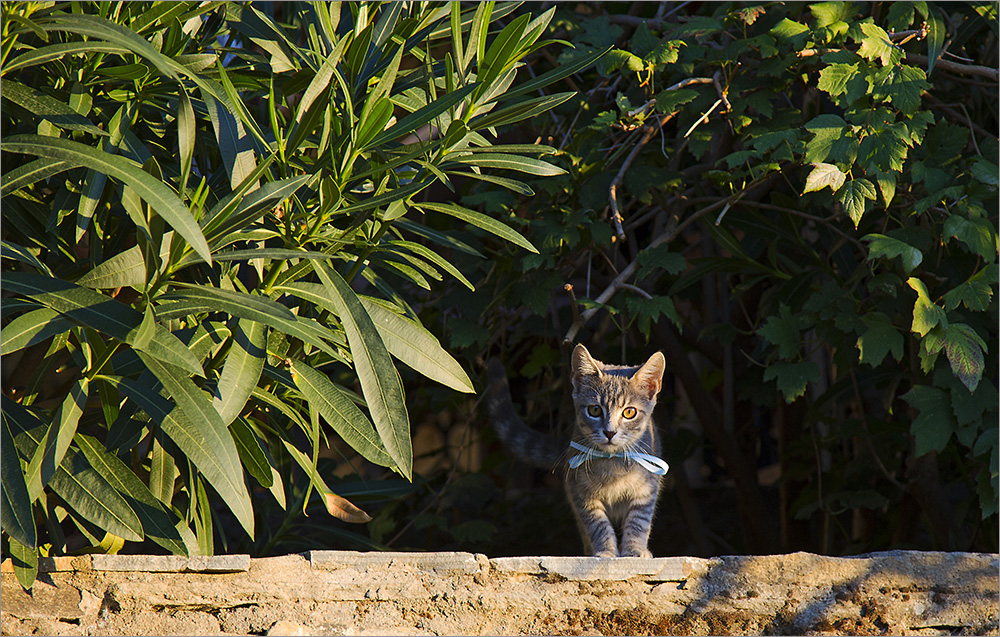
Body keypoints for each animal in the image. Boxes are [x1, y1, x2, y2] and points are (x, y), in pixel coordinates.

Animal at [486, 342, 668, 556]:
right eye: (594, 410)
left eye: (629, 412)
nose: (610, 432)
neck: (612, 466)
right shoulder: (579, 492)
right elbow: (597, 524)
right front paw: (605, 551)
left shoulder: (647, 488)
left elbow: (638, 521)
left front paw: (634, 550)